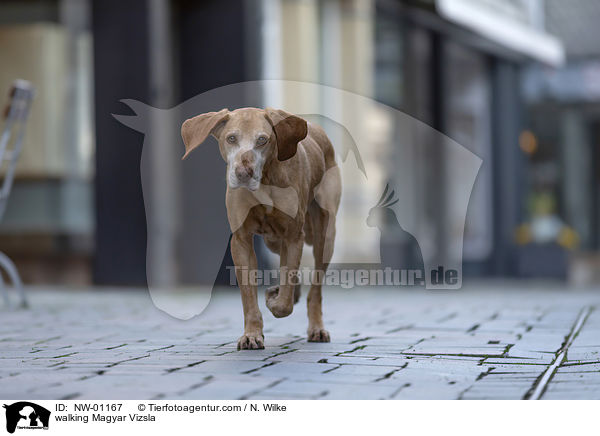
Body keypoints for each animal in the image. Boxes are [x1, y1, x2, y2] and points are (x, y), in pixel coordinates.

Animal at [183, 109, 340, 350]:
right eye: (231, 138)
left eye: (262, 140)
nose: (243, 172)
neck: (265, 182)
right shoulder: (241, 240)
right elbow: (249, 295)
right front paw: (252, 334)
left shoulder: (294, 236)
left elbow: (284, 302)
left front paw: (275, 302)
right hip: (272, 240)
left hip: (325, 236)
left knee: (315, 289)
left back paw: (316, 327)